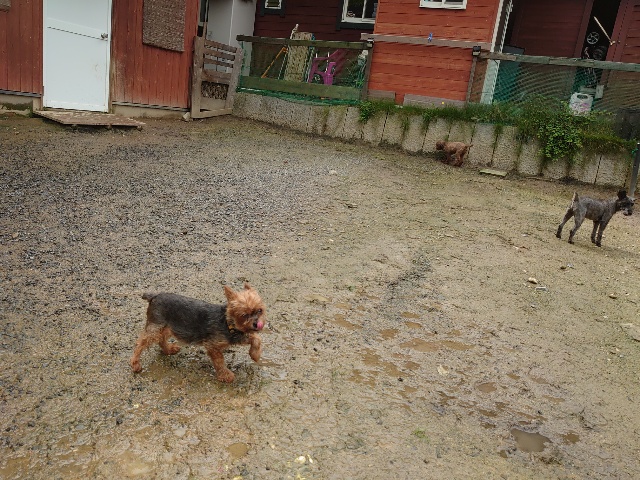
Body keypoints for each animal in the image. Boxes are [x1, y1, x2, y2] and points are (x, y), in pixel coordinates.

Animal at [130, 283, 266, 383]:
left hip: (168, 327)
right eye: (244, 315)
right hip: (156, 328)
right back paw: (135, 363)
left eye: (260, 310)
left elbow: (256, 338)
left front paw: (255, 355)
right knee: (140, 344)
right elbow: (219, 361)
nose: (257, 324)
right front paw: (225, 375)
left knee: (161, 339)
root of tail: (154, 296)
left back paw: (168, 350)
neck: (227, 322)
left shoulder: (239, 335)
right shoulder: (213, 346)